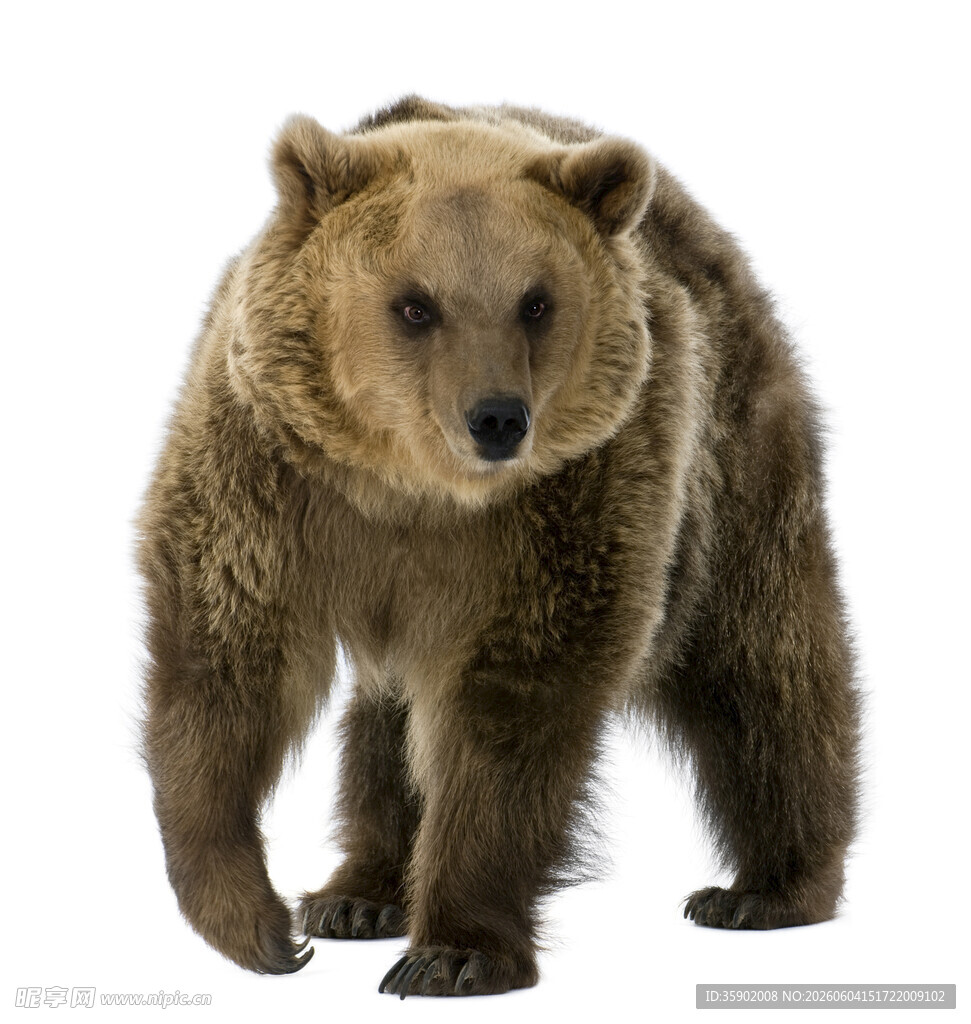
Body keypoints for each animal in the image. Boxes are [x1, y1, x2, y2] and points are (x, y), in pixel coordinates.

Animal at [137, 96, 860, 997]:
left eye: (535, 302)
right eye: (415, 304)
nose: (496, 417)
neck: (412, 488)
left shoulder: (569, 505)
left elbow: (510, 715)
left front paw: (452, 951)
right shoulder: (270, 477)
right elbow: (228, 665)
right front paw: (258, 925)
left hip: (729, 472)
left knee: (762, 668)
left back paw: (766, 888)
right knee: (386, 720)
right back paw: (359, 894)